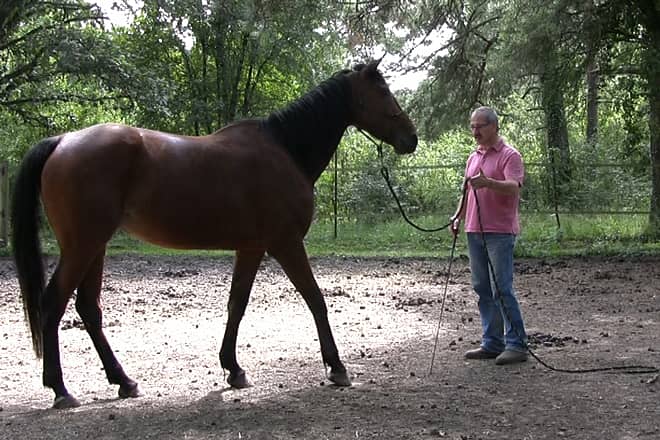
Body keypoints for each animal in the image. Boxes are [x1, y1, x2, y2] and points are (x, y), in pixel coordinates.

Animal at [11, 59, 418, 409]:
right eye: (383, 91)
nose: (411, 137)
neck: (285, 149)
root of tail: (63, 141)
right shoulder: (286, 244)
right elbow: (315, 299)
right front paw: (336, 367)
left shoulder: (251, 248)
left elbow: (237, 304)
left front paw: (233, 369)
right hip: (83, 245)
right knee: (54, 303)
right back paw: (61, 389)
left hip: (95, 246)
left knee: (88, 309)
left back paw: (123, 381)